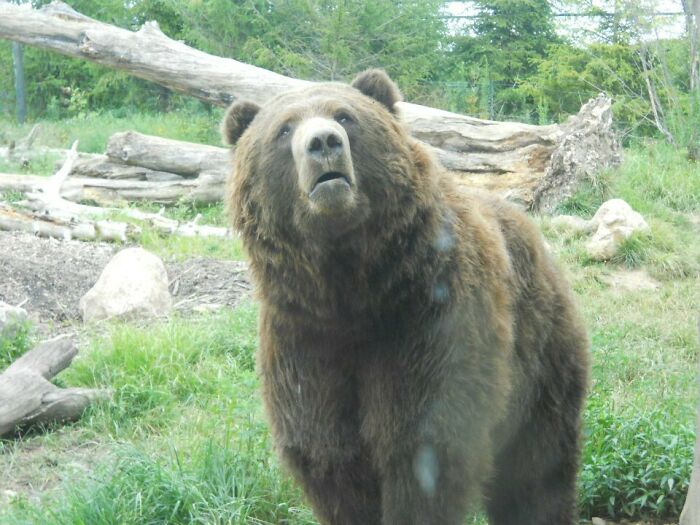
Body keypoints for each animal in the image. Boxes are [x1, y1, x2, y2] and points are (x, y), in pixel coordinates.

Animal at [222, 69, 590, 525]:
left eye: (345, 116)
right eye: (284, 129)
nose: (323, 142)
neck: (351, 291)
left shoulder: (427, 321)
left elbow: (422, 447)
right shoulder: (304, 340)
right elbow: (329, 456)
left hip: (539, 352)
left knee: (537, 466)